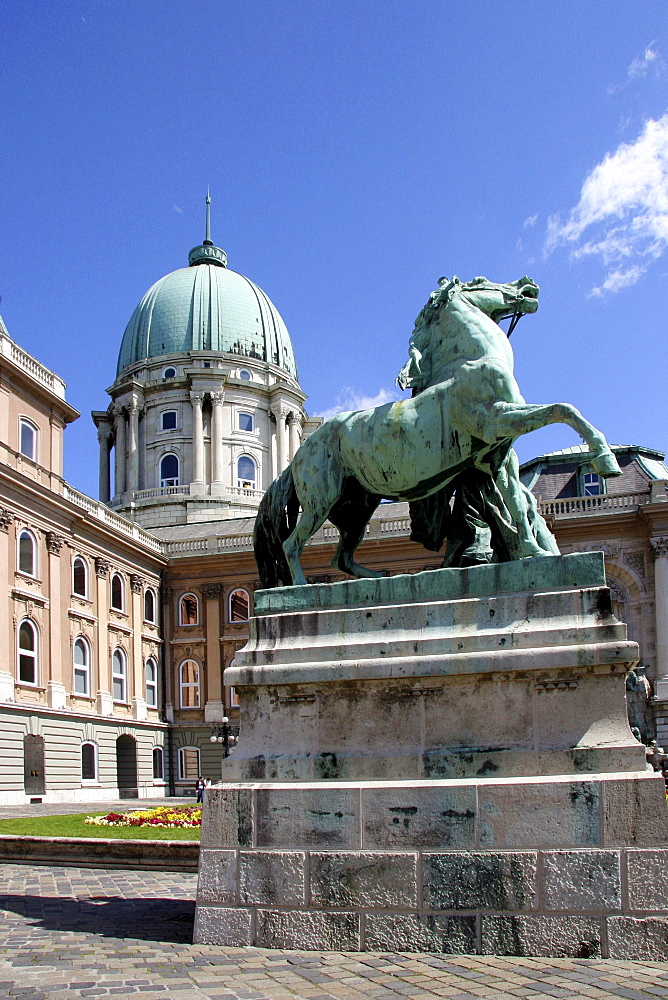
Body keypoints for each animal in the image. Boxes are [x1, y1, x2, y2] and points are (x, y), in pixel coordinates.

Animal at [254, 274, 620, 584]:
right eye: (482, 280)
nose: (527, 283)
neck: (474, 359)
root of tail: (298, 455)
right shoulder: (498, 419)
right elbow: (565, 409)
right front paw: (605, 457)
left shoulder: (497, 456)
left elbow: (515, 500)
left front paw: (535, 551)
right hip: (322, 500)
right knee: (292, 544)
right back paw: (300, 589)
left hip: (357, 505)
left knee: (341, 557)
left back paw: (381, 579)